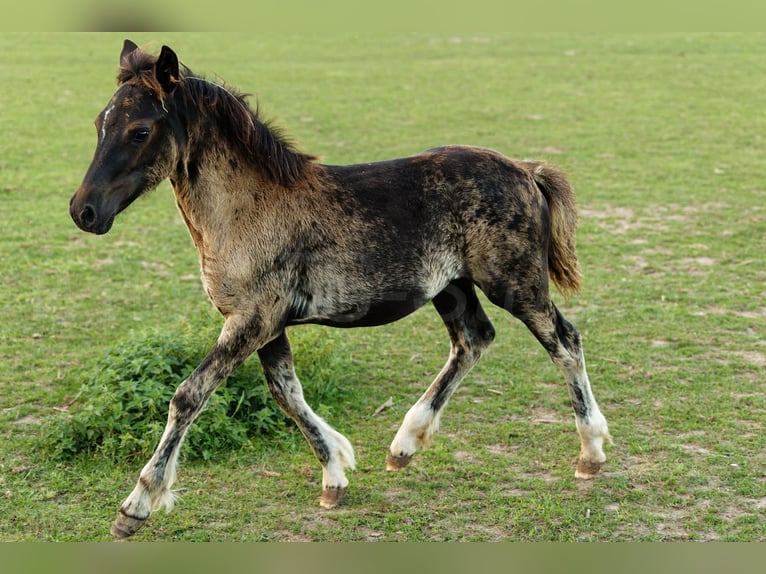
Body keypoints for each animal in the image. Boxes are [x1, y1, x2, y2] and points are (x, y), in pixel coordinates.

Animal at [69, 40, 616, 540]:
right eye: (98, 123)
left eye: (140, 130)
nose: (83, 211)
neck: (246, 209)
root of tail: (526, 170)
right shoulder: (266, 326)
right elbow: (286, 392)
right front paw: (335, 474)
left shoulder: (253, 320)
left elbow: (189, 395)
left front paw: (137, 504)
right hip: (453, 288)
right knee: (473, 339)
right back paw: (404, 444)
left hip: (515, 285)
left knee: (564, 342)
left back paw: (590, 453)